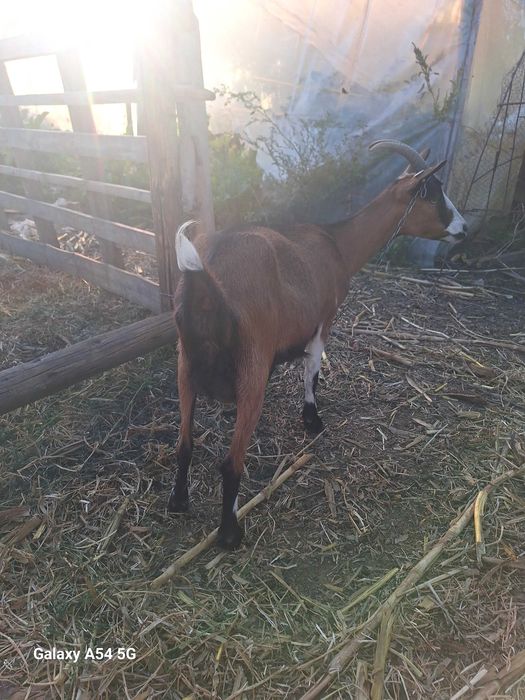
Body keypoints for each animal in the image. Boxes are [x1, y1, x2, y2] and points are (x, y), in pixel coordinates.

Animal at [169, 140, 467, 549]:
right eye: (433, 193)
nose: (464, 229)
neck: (337, 244)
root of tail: (206, 278)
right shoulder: (325, 316)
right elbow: (312, 369)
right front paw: (313, 420)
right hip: (252, 369)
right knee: (230, 463)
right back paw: (230, 533)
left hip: (184, 366)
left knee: (183, 444)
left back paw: (178, 502)